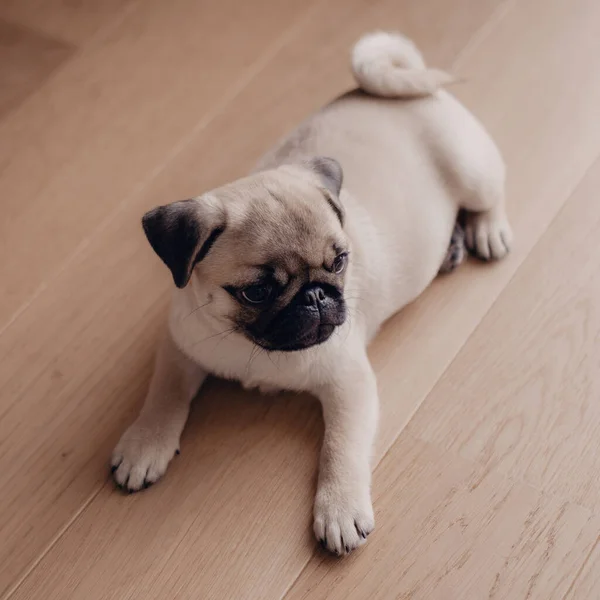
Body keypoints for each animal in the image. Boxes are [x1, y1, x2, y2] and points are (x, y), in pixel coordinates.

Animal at [112, 31, 510, 552]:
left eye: (339, 262)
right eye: (257, 292)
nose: (318, 296)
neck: (252, 348)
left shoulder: (349, 384)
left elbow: (341, 447)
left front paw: (339, 509)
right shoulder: (180, 344)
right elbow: (163, 392)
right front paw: (145, 442)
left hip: (473, 171)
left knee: (491, 195)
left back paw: (486, 231)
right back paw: (453, 246)